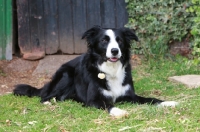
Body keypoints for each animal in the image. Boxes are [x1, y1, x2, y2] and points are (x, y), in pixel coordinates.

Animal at [13, 26, 177, 117]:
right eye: (104, 40)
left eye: (120, 40)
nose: (115, 51)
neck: (110, 70)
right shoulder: (93, 101)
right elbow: (109, 105)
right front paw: (120, 112)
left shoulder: (130, 96)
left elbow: (151, 99)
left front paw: (168, 102)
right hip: (66, 74)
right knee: (44, 96)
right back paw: (50, 102)